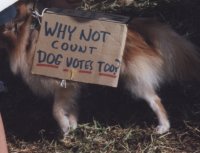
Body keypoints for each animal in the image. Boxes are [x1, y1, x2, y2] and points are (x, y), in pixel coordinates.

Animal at [0, 0, 200, 136]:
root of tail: (136, 27)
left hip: (135, 81)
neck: (28, 41)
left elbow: (56, 110)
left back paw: (163, 126)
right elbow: (71, 107)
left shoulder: (63, 84)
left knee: (155, 100)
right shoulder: (71, 87)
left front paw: (64, 127)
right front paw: (72, 124)